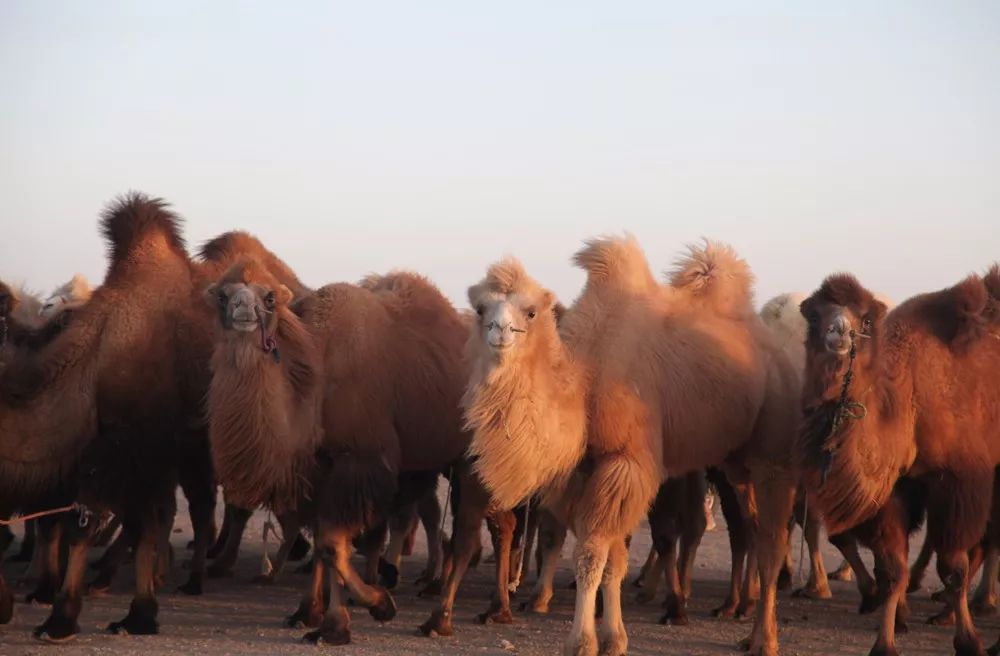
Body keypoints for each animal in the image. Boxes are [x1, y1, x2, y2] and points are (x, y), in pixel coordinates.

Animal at [796, 268, 1000, 656]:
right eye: (813, 315)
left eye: (866, 319)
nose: (838, 332)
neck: (911, 397)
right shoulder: (897, 488)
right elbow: (891, 569)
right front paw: (886, 640)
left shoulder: (961, 477)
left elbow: (954, 566)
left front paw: (968, 640)